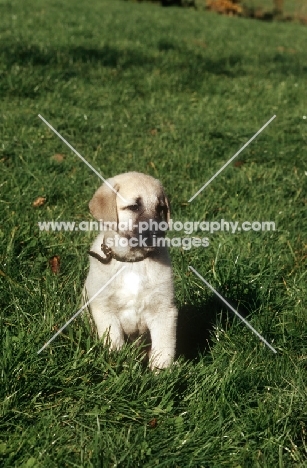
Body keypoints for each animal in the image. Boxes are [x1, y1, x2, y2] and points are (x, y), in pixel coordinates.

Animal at [84, 171, 178, 370]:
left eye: (160, 208)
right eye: (134, 206)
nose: (158, 235)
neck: (132, 262)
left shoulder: (164, 310)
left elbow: (163, 347)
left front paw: (162, 372)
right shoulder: (105, 310)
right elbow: (113, 342)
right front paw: (117, 364)